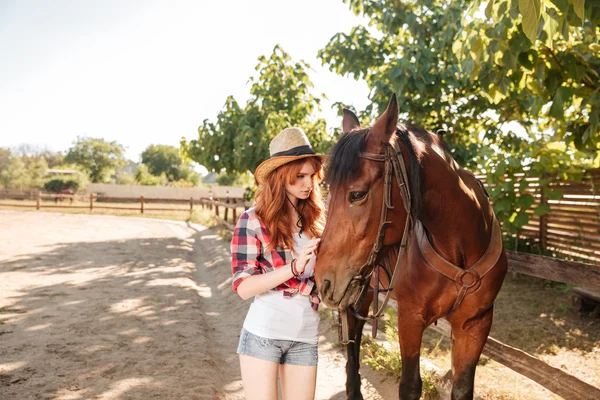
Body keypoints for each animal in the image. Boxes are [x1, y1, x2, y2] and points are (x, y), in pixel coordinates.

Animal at [314, 94, 506, 400]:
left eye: (357, 194)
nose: (323, 280)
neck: (459, 248)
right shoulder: (410, 319)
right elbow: (410, 385)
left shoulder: (475, 324)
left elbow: (462, 389)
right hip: (360, 291)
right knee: (353, 335)